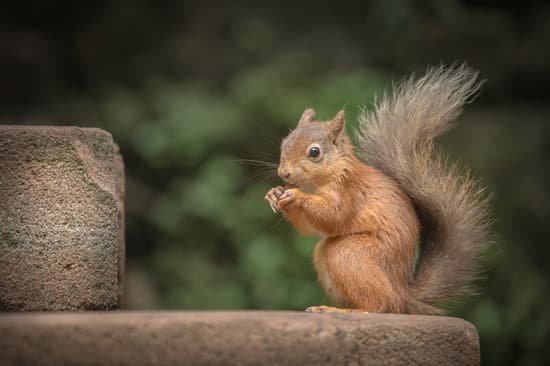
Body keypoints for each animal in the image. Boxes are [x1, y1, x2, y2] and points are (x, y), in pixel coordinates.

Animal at [266, 66, 492, 314]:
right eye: (284, 144)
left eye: (314, 152)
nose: (284, 173)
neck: (317, 182)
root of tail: (402, 294)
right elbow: (308, 228)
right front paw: (274, 194)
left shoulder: (349, 191)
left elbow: (333, 215)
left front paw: (296, 196)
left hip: (349, 254)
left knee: (378, 304)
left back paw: (341, 310)